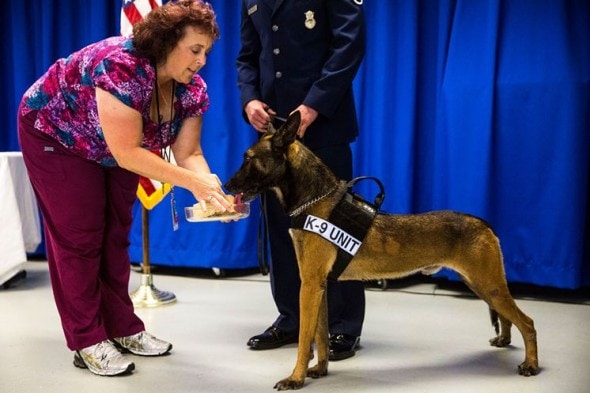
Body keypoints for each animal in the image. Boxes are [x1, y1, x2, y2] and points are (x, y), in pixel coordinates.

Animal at [227, 111, 540, 388]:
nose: (228, 186)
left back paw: (531, 364)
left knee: (527, 322)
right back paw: (505, 340)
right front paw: (319, 369)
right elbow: (321, 334)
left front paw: (295, 378)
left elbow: (306, 338)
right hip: (482, 285)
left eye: (248, 158)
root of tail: (483, 223)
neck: (314, 200)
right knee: (509, 317)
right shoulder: (318, 287)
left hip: (489, 285)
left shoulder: (310, 285)